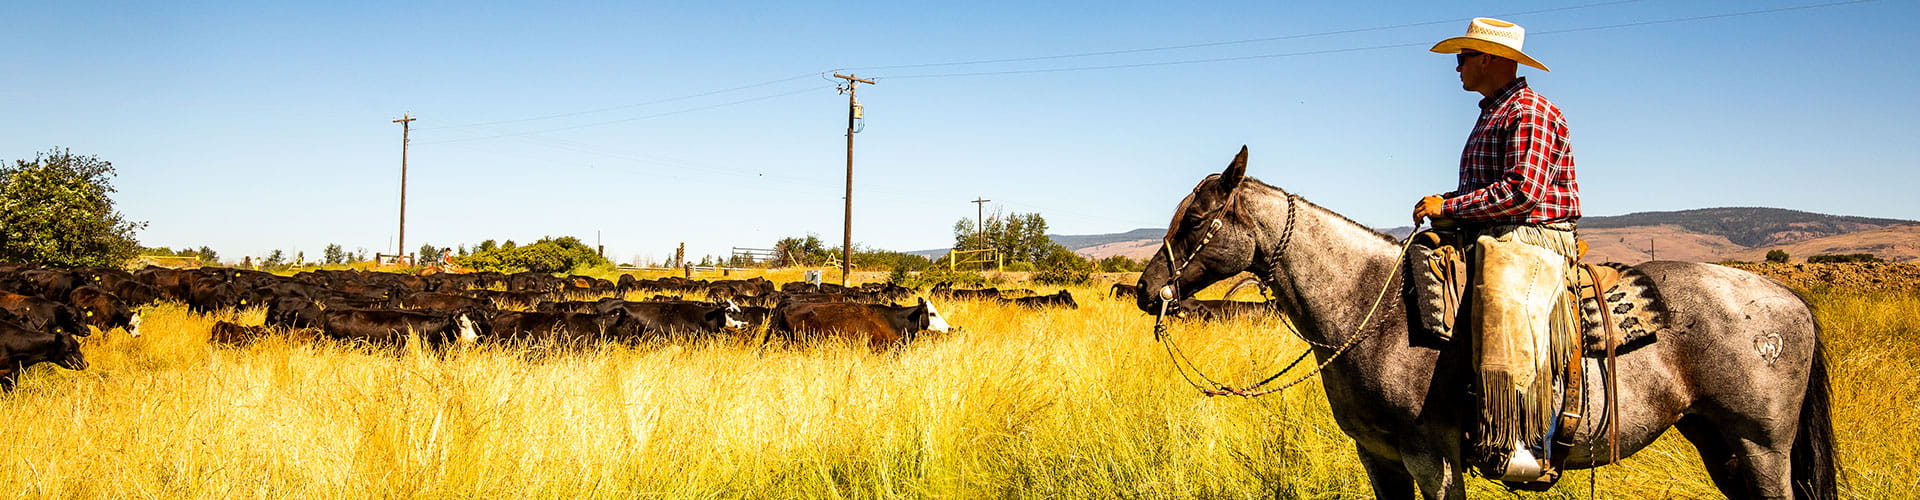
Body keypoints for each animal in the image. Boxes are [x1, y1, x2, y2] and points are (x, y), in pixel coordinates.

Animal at [1135, 147, 1835, 499]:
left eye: (1195, 219)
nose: (1145, 291)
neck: (1371, 310)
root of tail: (1790, 299)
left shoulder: (1431, 456)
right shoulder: (1378, 457)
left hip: (1761, 444)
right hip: (1720, 440)